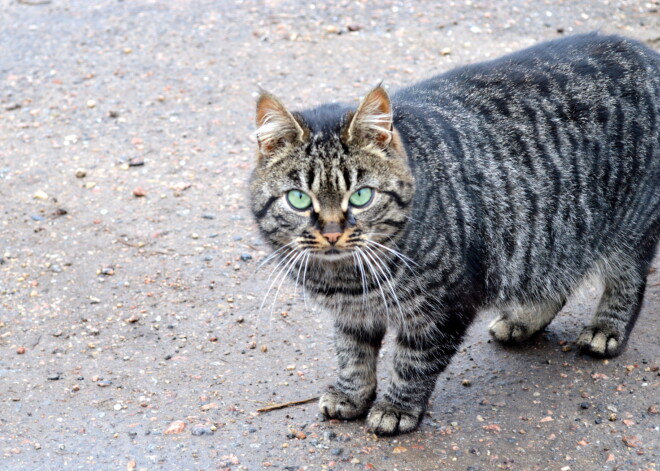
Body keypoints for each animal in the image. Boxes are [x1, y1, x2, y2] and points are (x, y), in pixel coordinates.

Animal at [249, 33, 660, 436]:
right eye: (300, 199)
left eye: (362, 196)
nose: (333, 233)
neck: (346, 279)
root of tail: (644, 51)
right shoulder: (353, 315)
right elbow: (353, 355)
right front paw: (351, 394)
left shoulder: (443, 307)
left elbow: (413, 362)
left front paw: (396, 408)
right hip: (552, 236)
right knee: (555, 279)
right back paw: (523, 320)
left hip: (627, 228)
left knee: (628, 280)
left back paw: (605, 329)